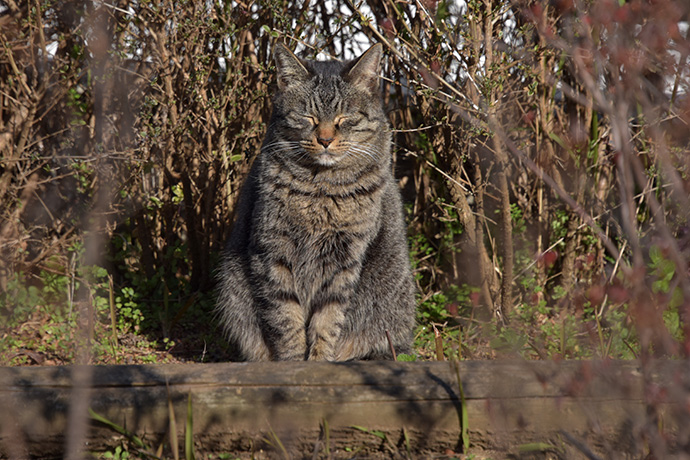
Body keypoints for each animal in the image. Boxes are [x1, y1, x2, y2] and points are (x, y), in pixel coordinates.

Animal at [215, 41, 414, 362]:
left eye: (344, 118)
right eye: (308, 117)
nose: (325, 139)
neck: (320, 189)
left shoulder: (346, 258)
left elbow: (328, 320)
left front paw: (319, 362)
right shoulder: (273, 249)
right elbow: (286, 318)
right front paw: (294, 363)